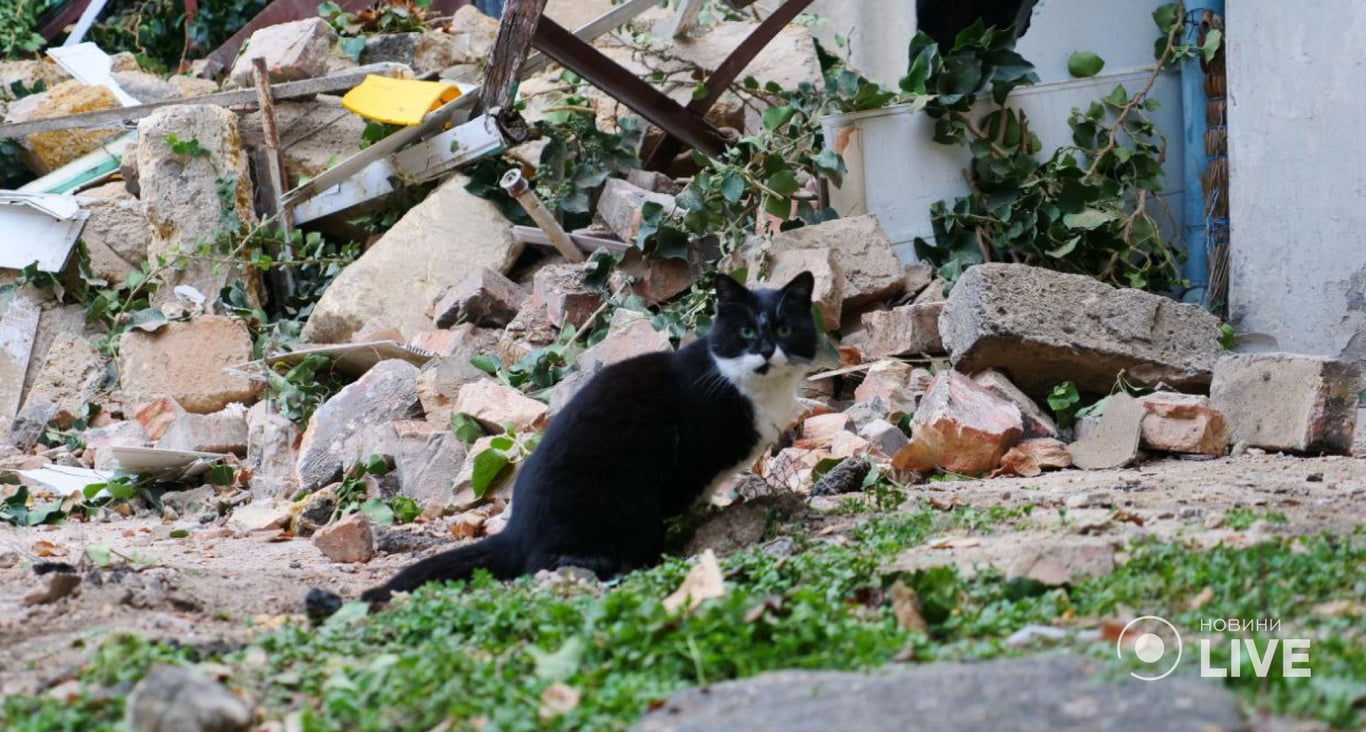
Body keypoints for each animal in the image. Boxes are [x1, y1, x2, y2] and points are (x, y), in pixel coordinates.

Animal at [352, 271, 814, 603]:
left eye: (785, 330)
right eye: (747, 333)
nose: (767, 350)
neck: (753, 389)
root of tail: (516, 532)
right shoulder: (690, 461)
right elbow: (685, 500)